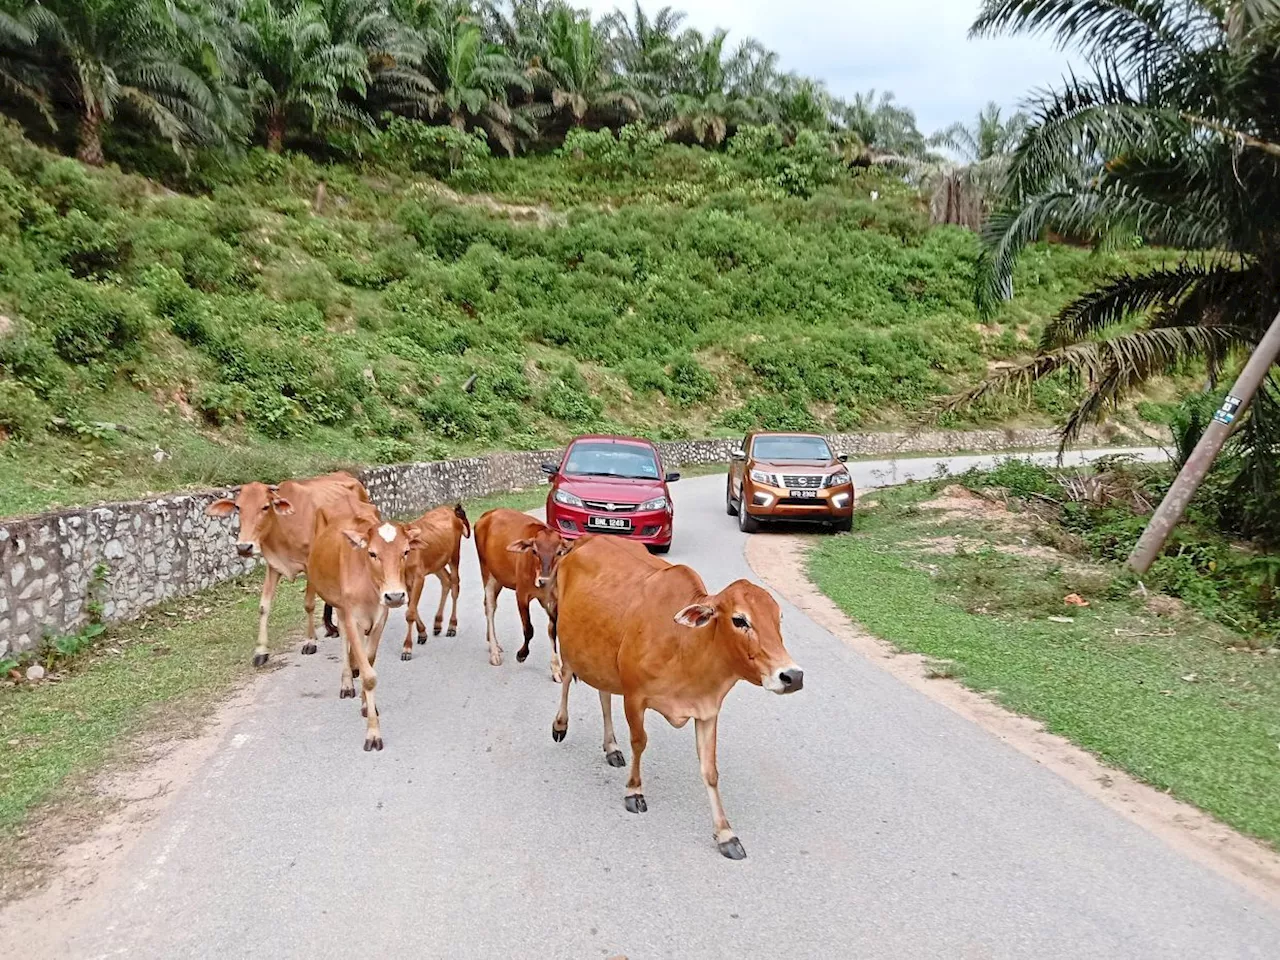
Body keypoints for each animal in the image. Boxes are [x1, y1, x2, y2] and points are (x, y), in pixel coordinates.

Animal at [204, 473, 373, 670]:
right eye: (238, 507)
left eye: (265, 506)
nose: (244, 547)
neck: (283, 524)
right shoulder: (272, 565)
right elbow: (263, 606)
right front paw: (260, 652)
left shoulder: (309, 565)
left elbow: (309, 604)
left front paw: (310, 641)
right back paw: (332, 627)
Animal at [307, 506, 422, 757]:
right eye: (372, 553)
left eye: (406, 551)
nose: (395, 596)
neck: (369, 585)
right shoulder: (354, 619)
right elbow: (368, 675)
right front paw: (373, 734)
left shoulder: (380, 618)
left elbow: (368, 661)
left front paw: (365, 704)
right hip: (340, 608)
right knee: (343, 639)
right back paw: (347, 683)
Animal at [399, 504, 471, 660]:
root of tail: (451, 510)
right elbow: (411, 607)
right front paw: (422, 633)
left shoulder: (419, 577)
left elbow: (410, 612)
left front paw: (407, 648)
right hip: (437, 564)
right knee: (446, 580)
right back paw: (437, 623)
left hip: (454, 556)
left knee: (455, 585)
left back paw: (451, 626)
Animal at [473, 506, 568, 680]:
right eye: (535, 551)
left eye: (559, 552)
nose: (544, 580)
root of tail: (488, 514)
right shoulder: (521, 595)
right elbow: (529, 629)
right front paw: (522, 654)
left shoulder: (553, 599)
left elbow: (553, 630)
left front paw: (556, 668)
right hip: (487, 572)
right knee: (490, 608)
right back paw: (494, 653)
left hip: (499, 577)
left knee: (487, 605)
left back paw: (492, 642)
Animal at [550, 537, 798, 860]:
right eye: (740, 620)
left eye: (778, 618)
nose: (792, 675)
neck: (686, 646)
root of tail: (584, 540)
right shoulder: (635, 696)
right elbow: (640, 742)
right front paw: (634, 791)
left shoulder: (708, 711)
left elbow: (710, 770)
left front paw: (725, 834)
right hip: (569, 642)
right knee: (567, 678)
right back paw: (560, 725)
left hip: (601, 654)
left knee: (604, 694)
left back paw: (611, 747)